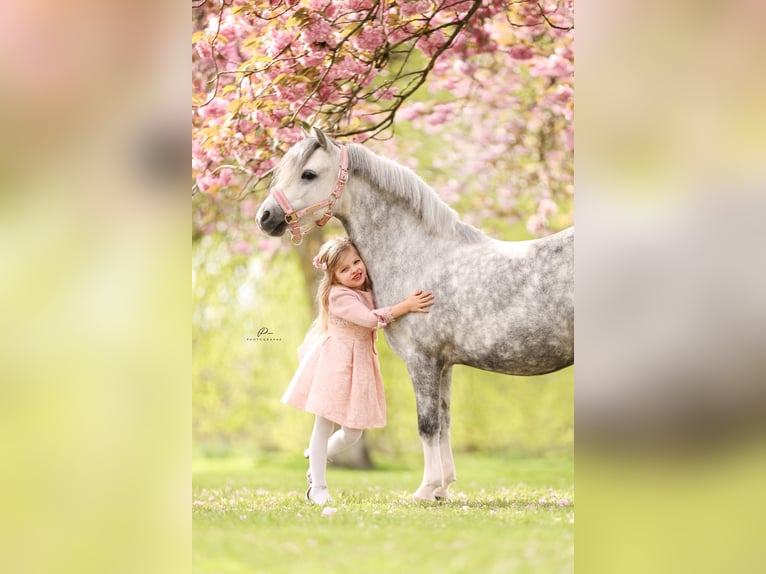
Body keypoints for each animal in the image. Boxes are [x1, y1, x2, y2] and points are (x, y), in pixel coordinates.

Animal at [256, 128, 574, 501]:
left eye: (308, 174)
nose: (265, 217)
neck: (418, 254)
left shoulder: (422, 360)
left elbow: (427, 424)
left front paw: (426, 488)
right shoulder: (445, 364)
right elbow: (444, 422)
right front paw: (443, 487)